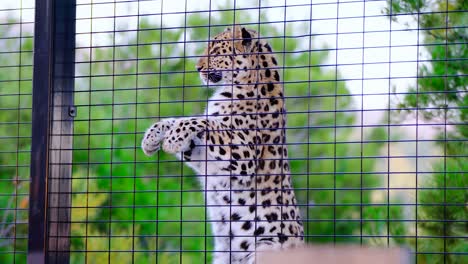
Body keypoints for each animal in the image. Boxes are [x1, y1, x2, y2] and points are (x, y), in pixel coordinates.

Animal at [141, 25, 306, 264]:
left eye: (216, 50)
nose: (197, 67)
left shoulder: (244, 154)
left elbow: (201, 121)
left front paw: (171, 140)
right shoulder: (204, 157)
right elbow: (177, 121)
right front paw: (152, 138)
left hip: (264, 249)